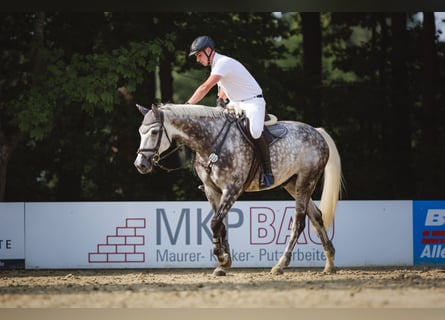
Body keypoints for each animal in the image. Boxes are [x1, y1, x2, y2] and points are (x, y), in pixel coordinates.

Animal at [134, 103, 342, 276]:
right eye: (140, 132)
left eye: (154, 132)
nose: (140, 164)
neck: (210, 142)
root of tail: (317, 131)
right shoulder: (212, 190)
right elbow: (221, 224)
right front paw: (224, 264)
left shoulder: (232, 189)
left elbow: (214, 223)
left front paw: (222, 259)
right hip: (292, 184)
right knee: (316, 216)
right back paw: (330, 264)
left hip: (306, 181)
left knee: (299, 223)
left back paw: (280, 265)